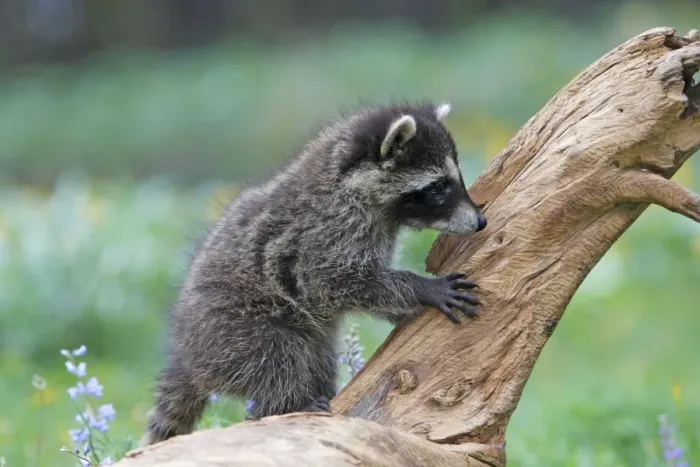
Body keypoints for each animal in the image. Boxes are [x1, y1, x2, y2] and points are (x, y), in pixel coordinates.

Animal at [143, 101, 487, 445]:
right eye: (439, 186)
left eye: (455, 179)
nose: (481, 221)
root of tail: (186, 357)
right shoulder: (325, 233)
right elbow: (338, 281)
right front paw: (420, 288)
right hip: (234, 328)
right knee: (276, 358)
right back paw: (287, 403)